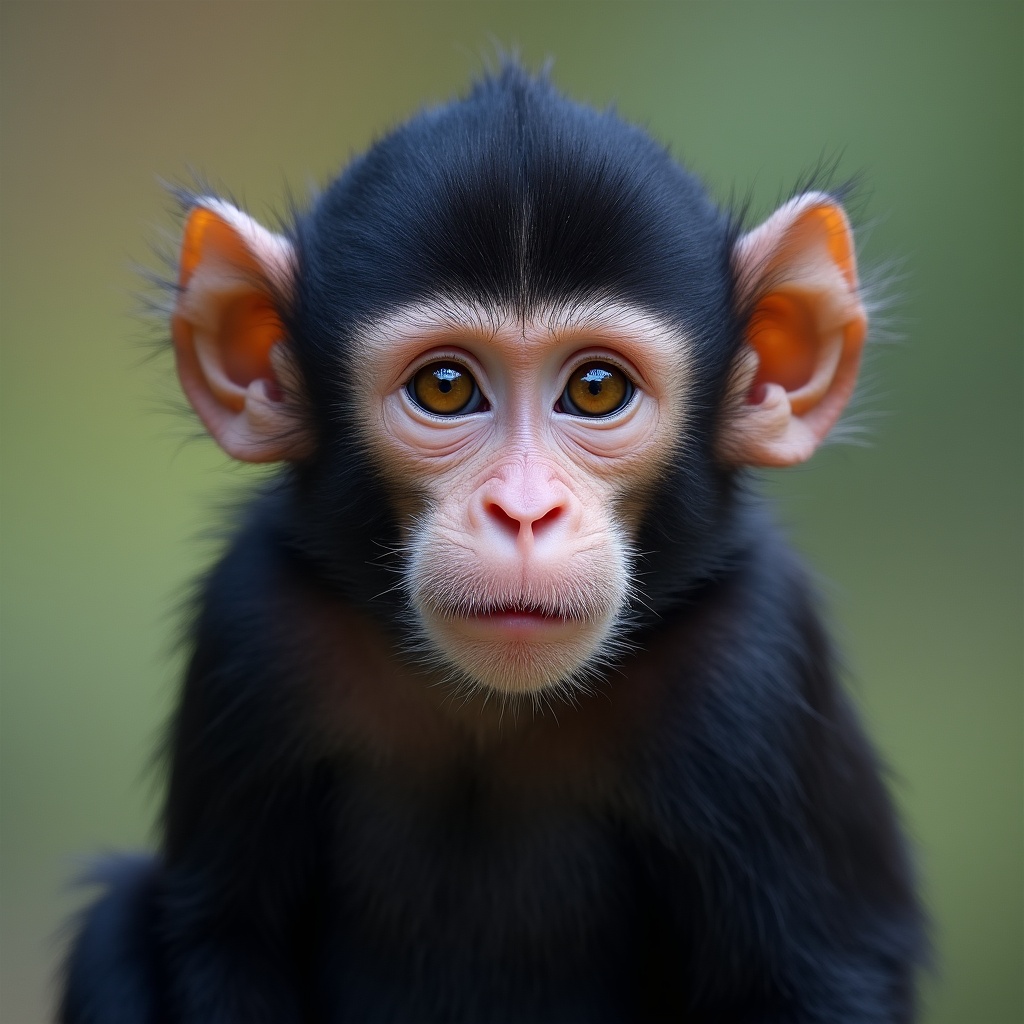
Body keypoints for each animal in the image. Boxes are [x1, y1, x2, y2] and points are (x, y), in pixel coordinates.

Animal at [60, 64, 925, 1023]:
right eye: (445, 387)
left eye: (595, 389)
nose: (522, 510)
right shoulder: (255, 628)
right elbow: (219, 939)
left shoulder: (755, 671)